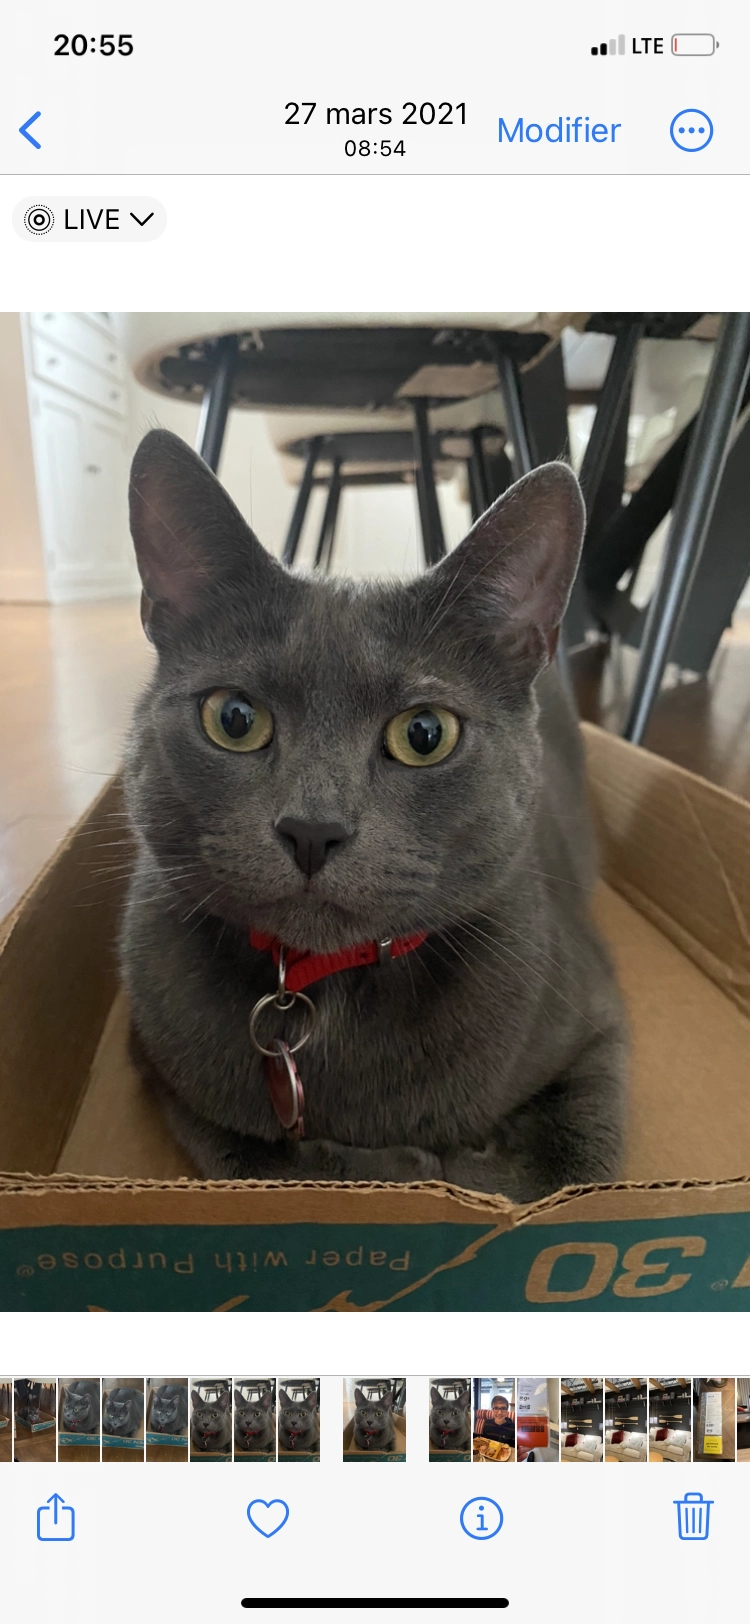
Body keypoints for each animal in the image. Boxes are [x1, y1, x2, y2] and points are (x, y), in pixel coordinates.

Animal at [121, 429, 627, 1201]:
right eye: (234, 718)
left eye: (425, 734)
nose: (312, 829)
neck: (324, 994)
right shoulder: (159, 1057)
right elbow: (254, 1157)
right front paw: (395, 1166)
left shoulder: (599, 1019)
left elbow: (567, 1174)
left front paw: (462, 1161)